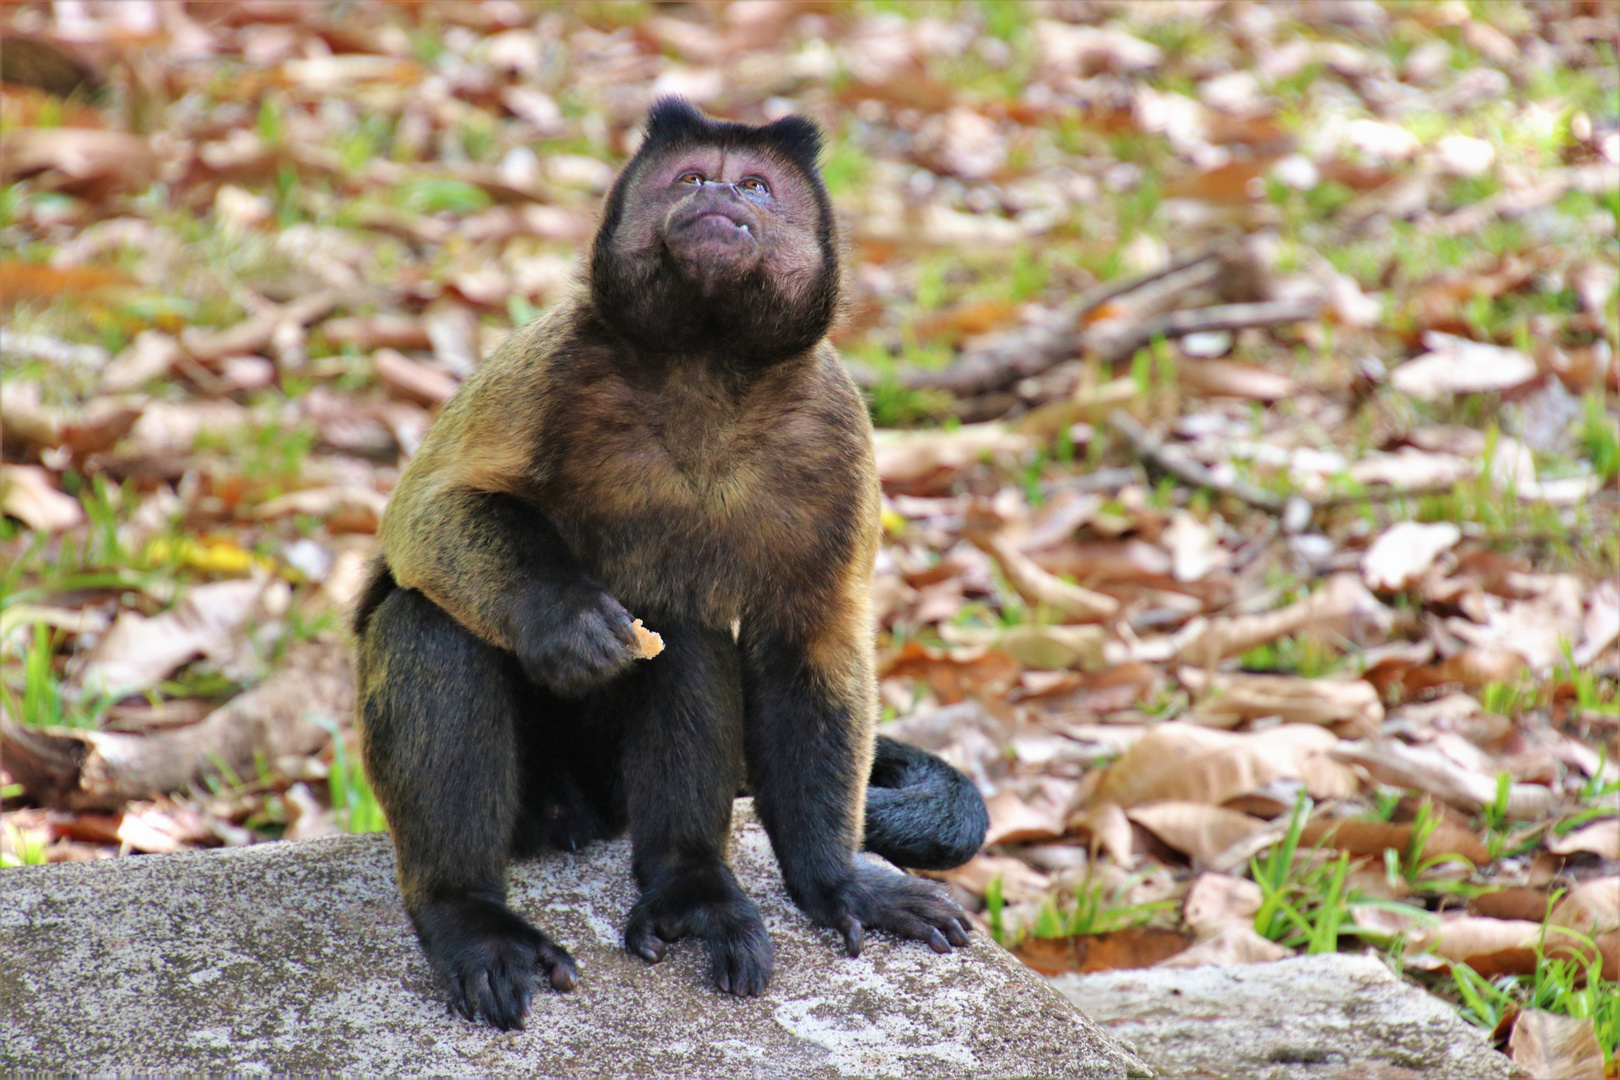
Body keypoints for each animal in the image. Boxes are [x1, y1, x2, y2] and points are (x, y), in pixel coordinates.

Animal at [353, 99, 984, 1029]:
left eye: (754, 185)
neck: (706, 365)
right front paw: (563, 619)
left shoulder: (838, 427)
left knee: (686, 630)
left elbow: (811, 641)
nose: (718, 194)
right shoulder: (550, 361)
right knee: (434, 618)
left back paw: (689, 883)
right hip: (545, 804)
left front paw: (835, 881)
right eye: (689, 176)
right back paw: (466, 912)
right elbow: (425, 518)